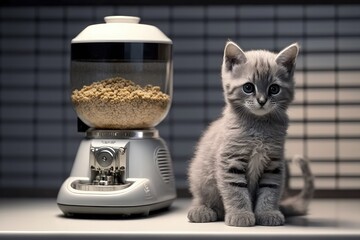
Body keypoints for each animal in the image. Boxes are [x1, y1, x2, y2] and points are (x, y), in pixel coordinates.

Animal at [187, 41, 314, 227]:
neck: (258, 126)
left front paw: (267, 213)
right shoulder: (230, 160)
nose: (262, 101)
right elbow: (235, 191)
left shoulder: (274, 163)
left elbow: (269, 191)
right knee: (203, 199)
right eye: (248, 87)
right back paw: (203, 210)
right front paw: (240, 215)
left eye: (274, 89)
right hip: (200, 177)